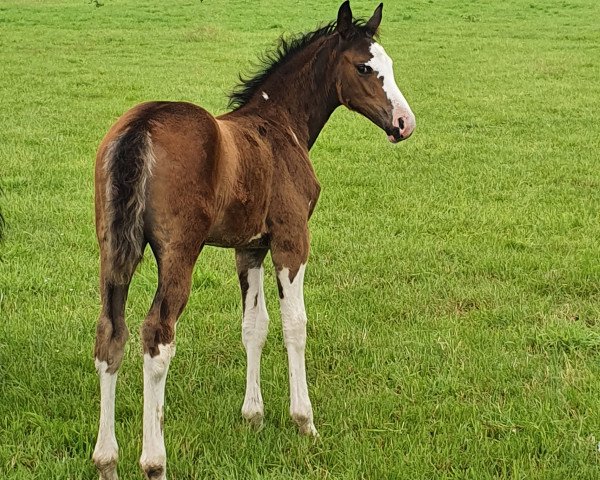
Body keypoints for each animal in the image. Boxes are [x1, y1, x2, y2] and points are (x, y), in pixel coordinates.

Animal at [91, 1, 414, 478]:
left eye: (388, 64)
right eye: (364, 67)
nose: (404, 123)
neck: (279, 124)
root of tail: (141, 127)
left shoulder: (250, 248)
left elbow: (253, 326)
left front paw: (253, 417)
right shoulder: (291, 240)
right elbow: (294, 324)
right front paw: (304, 421)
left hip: (114, 250)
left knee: (111, 333)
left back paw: (106, 460)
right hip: (178, 253)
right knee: (157, 337)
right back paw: (154, 462)